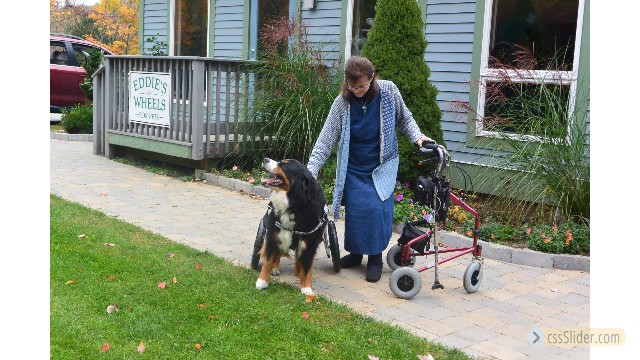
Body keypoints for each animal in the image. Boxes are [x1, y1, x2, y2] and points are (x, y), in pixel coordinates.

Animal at [255, 158, 328, 296]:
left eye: (285, 165)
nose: (265, 159)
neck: (294, 205)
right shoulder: (273, 234)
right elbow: (268, 261)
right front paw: (262, 282)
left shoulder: (309, 243)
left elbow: (307, 268)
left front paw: (306, 289)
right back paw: (275, 268)